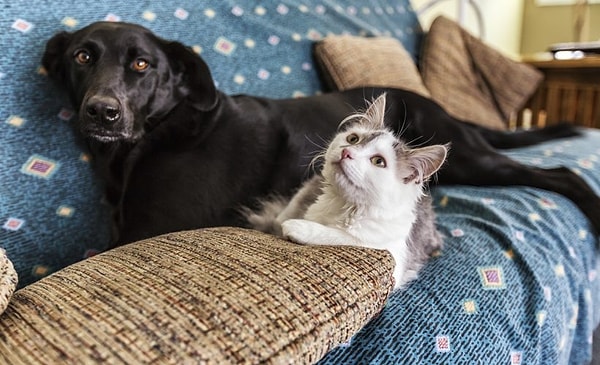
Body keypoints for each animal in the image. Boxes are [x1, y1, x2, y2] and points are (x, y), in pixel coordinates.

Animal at [42, 22, 600, 245]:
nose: (102, 112)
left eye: (141, 64)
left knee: (561, 172)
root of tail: (431, 101)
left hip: (467, 158)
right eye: (83, 56)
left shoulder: (153, 228)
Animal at [243, 93, 446, 288]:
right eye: (353, 139)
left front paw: (299, 228)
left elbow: (345, 237)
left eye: (378, 161)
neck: (342, 204)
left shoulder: (393, 255)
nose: (346, 152)